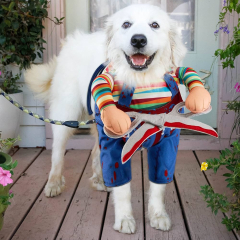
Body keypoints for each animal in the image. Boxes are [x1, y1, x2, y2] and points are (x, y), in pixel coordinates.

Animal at [25, 3, 187, 234]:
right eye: (126, 24)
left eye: (155, 25)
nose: (138, 40)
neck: (140, 85)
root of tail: (71, 41)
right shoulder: (114, 143)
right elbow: (123, 189)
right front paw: (125, 219)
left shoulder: (165, 143)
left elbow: (158, 186)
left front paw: (158, 215)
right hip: (66, 113)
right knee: (57, 152)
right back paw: (54, 183)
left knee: (95, 153)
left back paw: (100, 180)